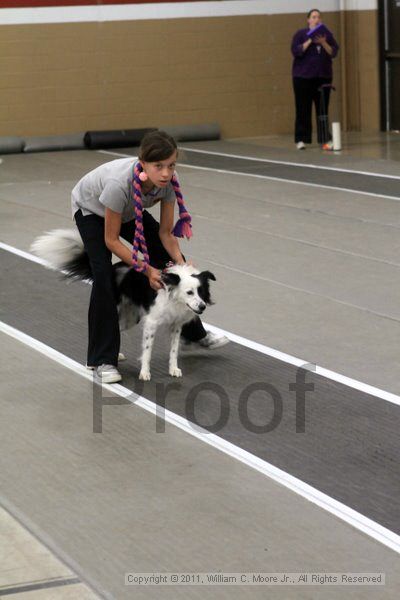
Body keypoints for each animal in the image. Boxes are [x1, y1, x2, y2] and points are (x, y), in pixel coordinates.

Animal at [30, 230, 216, 380]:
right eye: (189, 292)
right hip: (112, 308)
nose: (202, 307)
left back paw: (114, 355)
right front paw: (144, 373)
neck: (172, 295)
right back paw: (96, 361)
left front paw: (173, 369)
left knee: (117, 328)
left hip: (131, 318)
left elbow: (174, 350)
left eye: (201, 292)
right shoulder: (151, 323)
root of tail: (113, 268)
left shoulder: (176, 325)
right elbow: (147, 350)